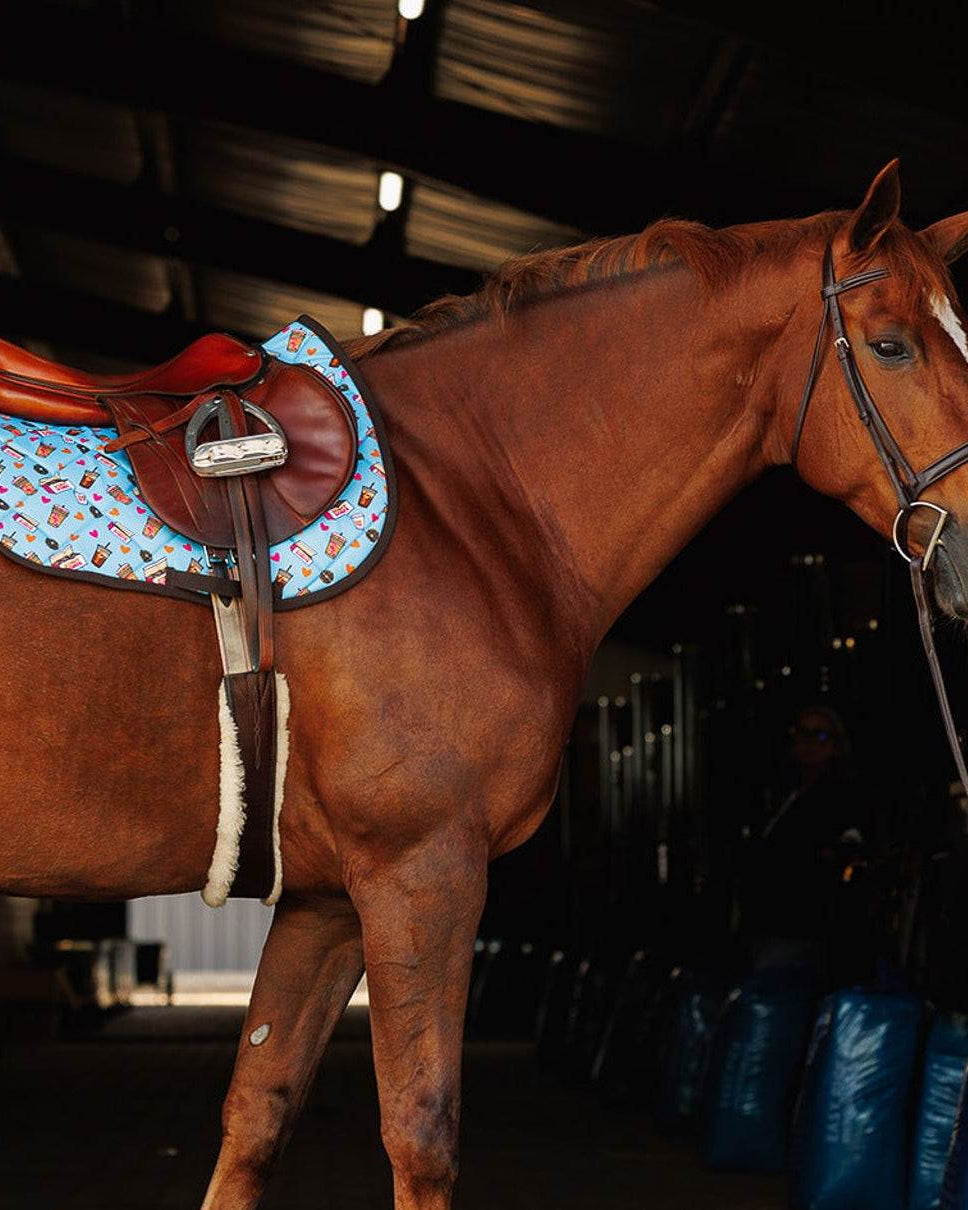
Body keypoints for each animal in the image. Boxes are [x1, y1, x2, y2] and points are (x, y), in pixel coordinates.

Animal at [3, 158, 968, 1210]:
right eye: (892, 346)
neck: (471, 504)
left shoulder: (324, 900)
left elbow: (257, 1114)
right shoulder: (423, 872)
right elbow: (422, 1131)